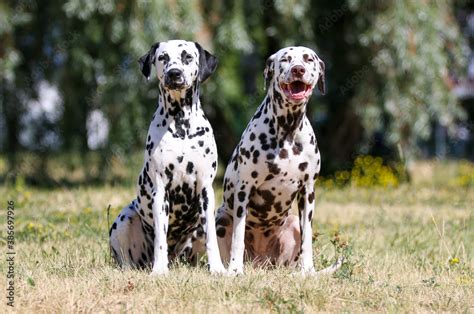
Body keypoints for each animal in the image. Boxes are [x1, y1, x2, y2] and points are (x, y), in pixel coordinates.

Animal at [109, 39, 226, 274]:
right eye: (162, 57)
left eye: (187, 57)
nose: (174, 73)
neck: (181, 125)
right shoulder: (160, 192)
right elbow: (160, 239)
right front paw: (159, 270)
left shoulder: (206, 191)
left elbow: (211, 238)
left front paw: (218, 269)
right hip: (124, 219)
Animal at [217, 46, 342, 274]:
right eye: (285, 59)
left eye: (308, 59)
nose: (298, 69)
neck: (288, 130)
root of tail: (260, 262)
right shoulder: (244, 189)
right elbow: (238, 236)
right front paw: (236, 270)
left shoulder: (308, 192)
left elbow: (307, 240)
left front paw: (308, 272)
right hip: (220, 218)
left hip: (292, 223)